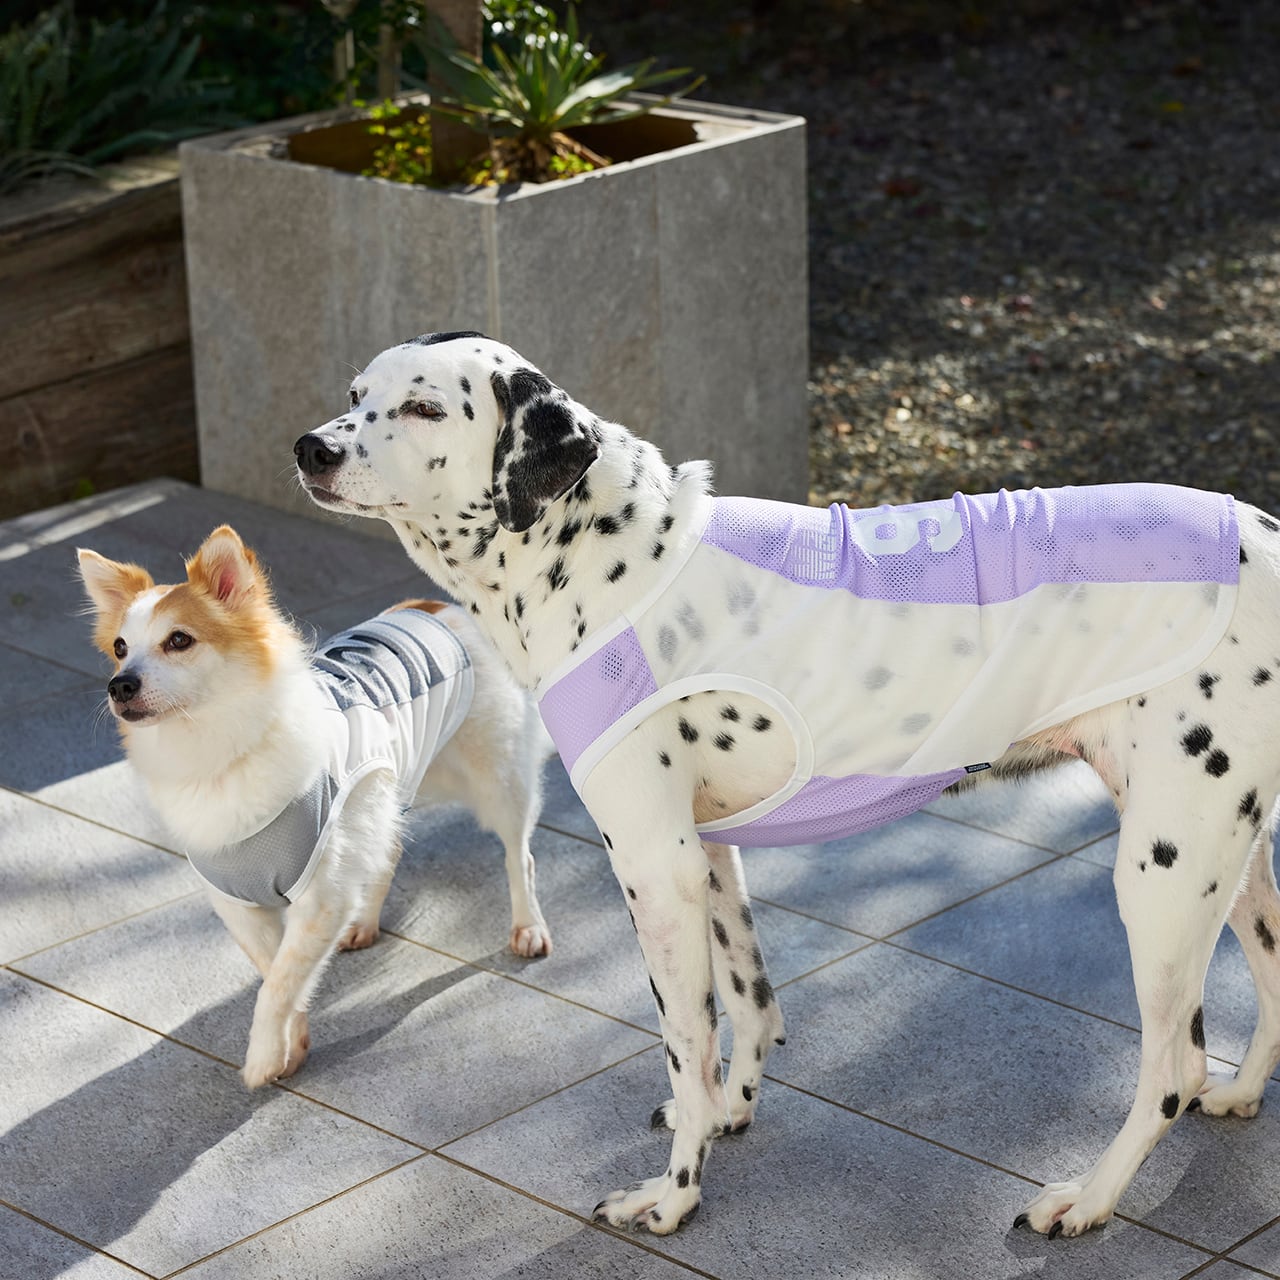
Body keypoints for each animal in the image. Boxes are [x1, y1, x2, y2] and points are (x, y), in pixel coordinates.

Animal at [77, 523, 552, 1089]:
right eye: (120, 648)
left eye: (179, 641)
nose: (119, 684)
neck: (218, 750)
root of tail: (440, 607)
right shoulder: (239, 904)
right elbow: (278, 973)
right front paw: (293, 1045)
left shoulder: (320, 895)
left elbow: (277, 985)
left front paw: (262, 1058)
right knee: (386, 853)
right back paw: (364, 922)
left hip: (497, 778)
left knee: (519, 853)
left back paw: (528, 927)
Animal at [293, 331, 1280, 1239]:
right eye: (353, 395)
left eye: (425, 408)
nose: (311, 448)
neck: (606, 558)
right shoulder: (708, 857)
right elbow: (750, 1005)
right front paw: (733, 1110)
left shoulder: (654, 872)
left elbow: (685, 1044)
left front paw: (673, 1195)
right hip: (1226, 858)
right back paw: (1240, 1092)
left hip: (1163, 871)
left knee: (1170, 1072)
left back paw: (1091, 1197)